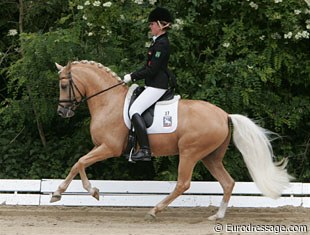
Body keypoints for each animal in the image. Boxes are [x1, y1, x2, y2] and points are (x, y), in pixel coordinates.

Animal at [52, 60, 292, 220]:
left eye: (63, 86)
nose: (62, 112)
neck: (108, 100)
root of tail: (224, 115)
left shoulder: (109, 147)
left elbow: (79, 162)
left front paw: (62, 192)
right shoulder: (100, 146)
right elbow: (80, 164)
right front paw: (86, 191)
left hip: (189, 153)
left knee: (183, 183)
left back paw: (155, 210)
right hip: (211, 157)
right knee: (227, 182)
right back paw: (217, 216)